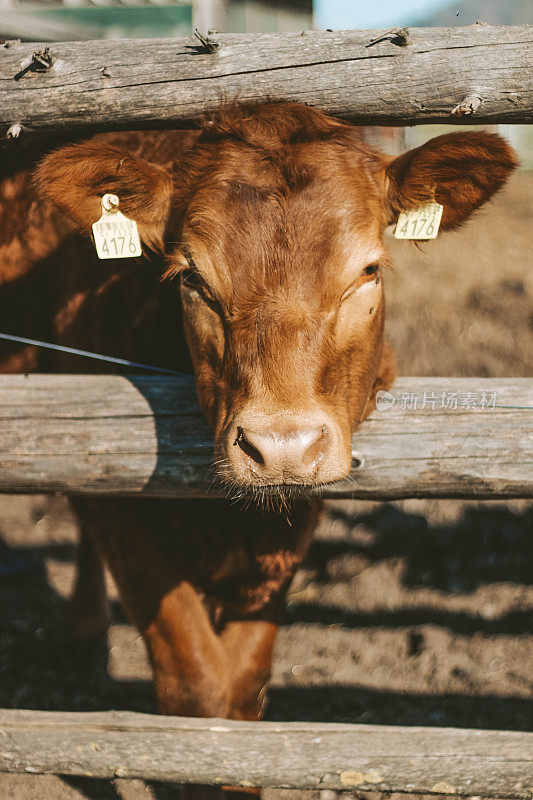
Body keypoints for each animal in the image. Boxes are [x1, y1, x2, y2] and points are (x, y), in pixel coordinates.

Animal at [0, 100, 516, 788]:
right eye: (191, 278)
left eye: (369, 271)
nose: (281, 448)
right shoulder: (121, 504)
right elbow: (196, 685)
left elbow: (243, 687)